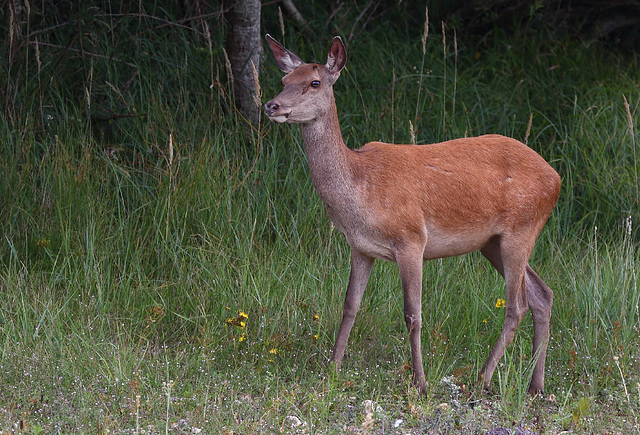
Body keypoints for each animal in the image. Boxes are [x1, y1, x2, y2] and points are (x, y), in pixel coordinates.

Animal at [264, 35, 560, 396]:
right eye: (284, 80)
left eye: (314, 82)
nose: (272, 105)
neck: (361, 188)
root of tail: (556, 179)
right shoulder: (360, 247)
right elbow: (349, 306)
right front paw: (332, 368)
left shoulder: (411, 239)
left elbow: (412, 315)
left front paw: (420, 382)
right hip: (493, 242)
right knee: (542, 295)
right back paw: (535, 384)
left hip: (522, 228)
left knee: (517, 305)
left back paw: (483, 378)